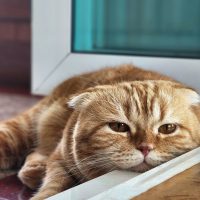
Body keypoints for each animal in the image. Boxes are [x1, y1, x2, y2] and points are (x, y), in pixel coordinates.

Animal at [0, 65, 200, 199]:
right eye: (118, 127)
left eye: (168, 128)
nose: (145, 148)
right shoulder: (60, 160)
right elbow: (54, 185)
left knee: (36, 152)